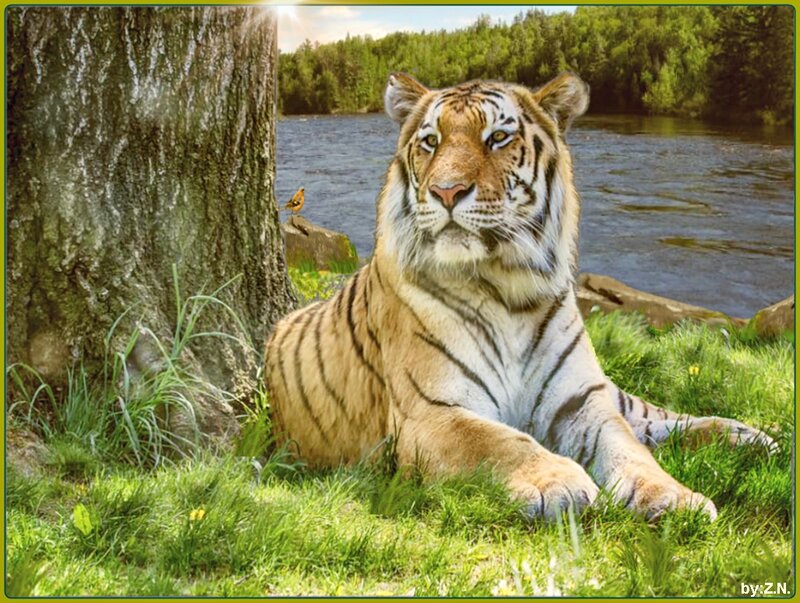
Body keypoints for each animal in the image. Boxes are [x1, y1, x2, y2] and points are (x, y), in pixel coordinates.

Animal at [265, 72, 775, 521]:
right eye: (430, 142)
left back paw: (752, 435)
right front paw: (561, 483)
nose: (445, 191)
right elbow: (499, 442)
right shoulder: (432, 412)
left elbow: (629, 449)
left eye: (497, 138)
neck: (507, 287)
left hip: (608, 391)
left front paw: (673, 497)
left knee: (651, 417)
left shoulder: (581, 401)